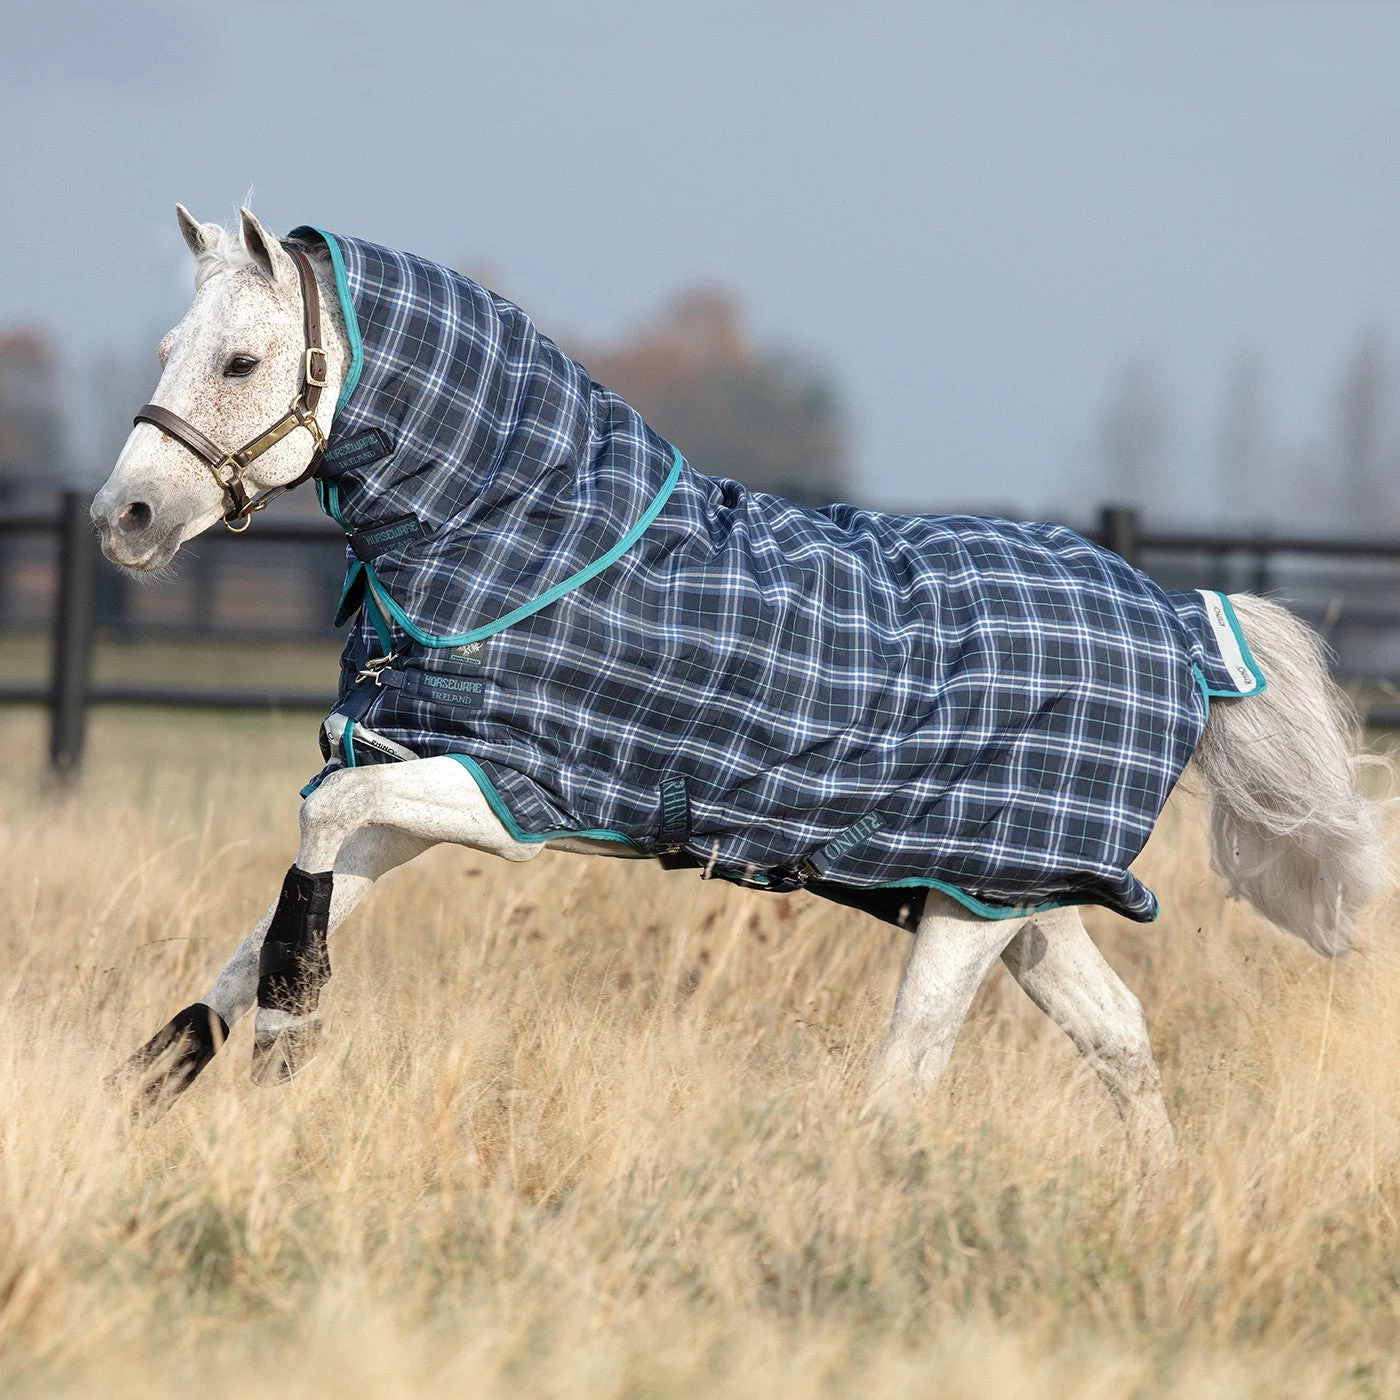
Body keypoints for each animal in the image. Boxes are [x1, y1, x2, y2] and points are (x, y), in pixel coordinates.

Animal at [93, 206, 1383, 1172]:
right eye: (166, 351)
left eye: (242, 361)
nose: (126, 518)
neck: (531, 537)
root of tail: (1179, 619)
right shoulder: (413, 777)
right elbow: (262, 926)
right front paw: (132, 1097)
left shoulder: (506, 795)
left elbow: (311, 850)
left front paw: (290, 1045)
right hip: (1009, 894)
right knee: (1113, 1037)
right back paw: (1156, 1195)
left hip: (974, 907)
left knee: (908, 1074)